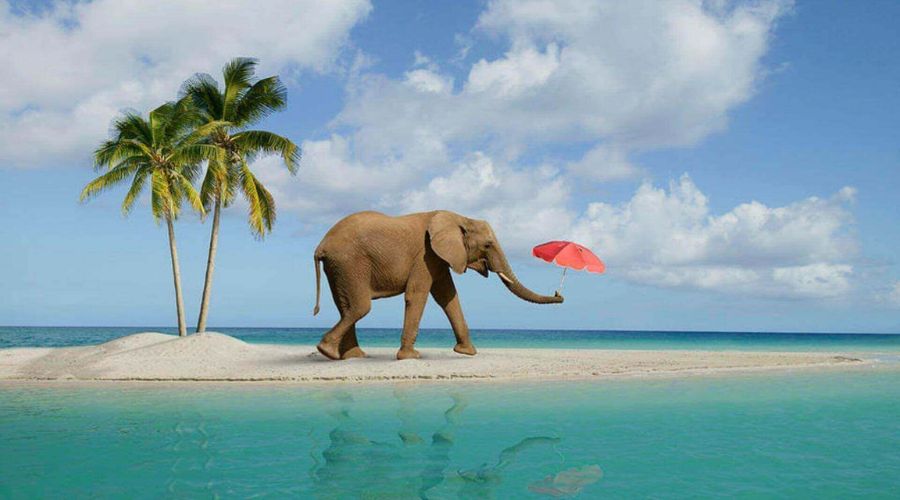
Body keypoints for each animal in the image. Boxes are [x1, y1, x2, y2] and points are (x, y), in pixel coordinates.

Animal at [312, 210, 564, 360]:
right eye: (488, 245)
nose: (559, 295)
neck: (460, 217)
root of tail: (321, 245)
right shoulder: (425, 255)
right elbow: (418, 294)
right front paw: (410, 358)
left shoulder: (439, 258)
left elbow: (448, 297)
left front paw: (467, 353)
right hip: (350, 263)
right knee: (360, 307)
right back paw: (327, 352)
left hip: (339, 267)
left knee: (345, 307)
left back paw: (351, 356)